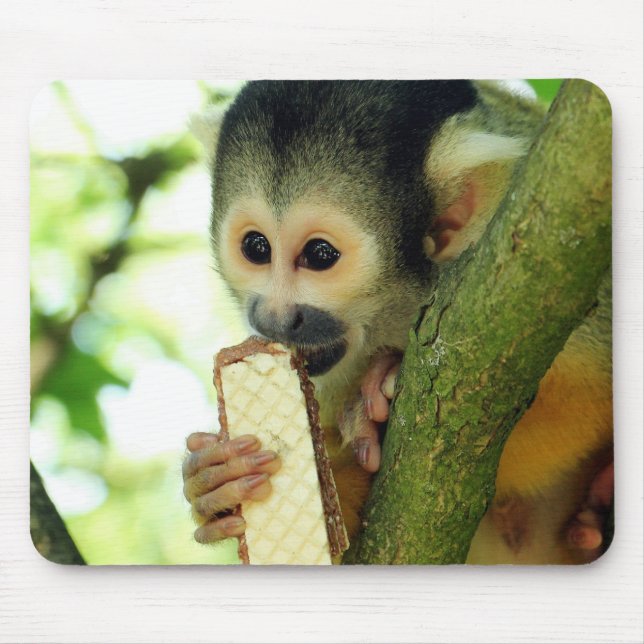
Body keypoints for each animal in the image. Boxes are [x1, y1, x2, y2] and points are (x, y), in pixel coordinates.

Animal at [182, 81, 613, 564]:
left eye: (319, 255)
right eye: (257, 248)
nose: (274, 319)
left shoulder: (548, 267)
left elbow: (585, 398)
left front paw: (375, 411)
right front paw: (216, 482)